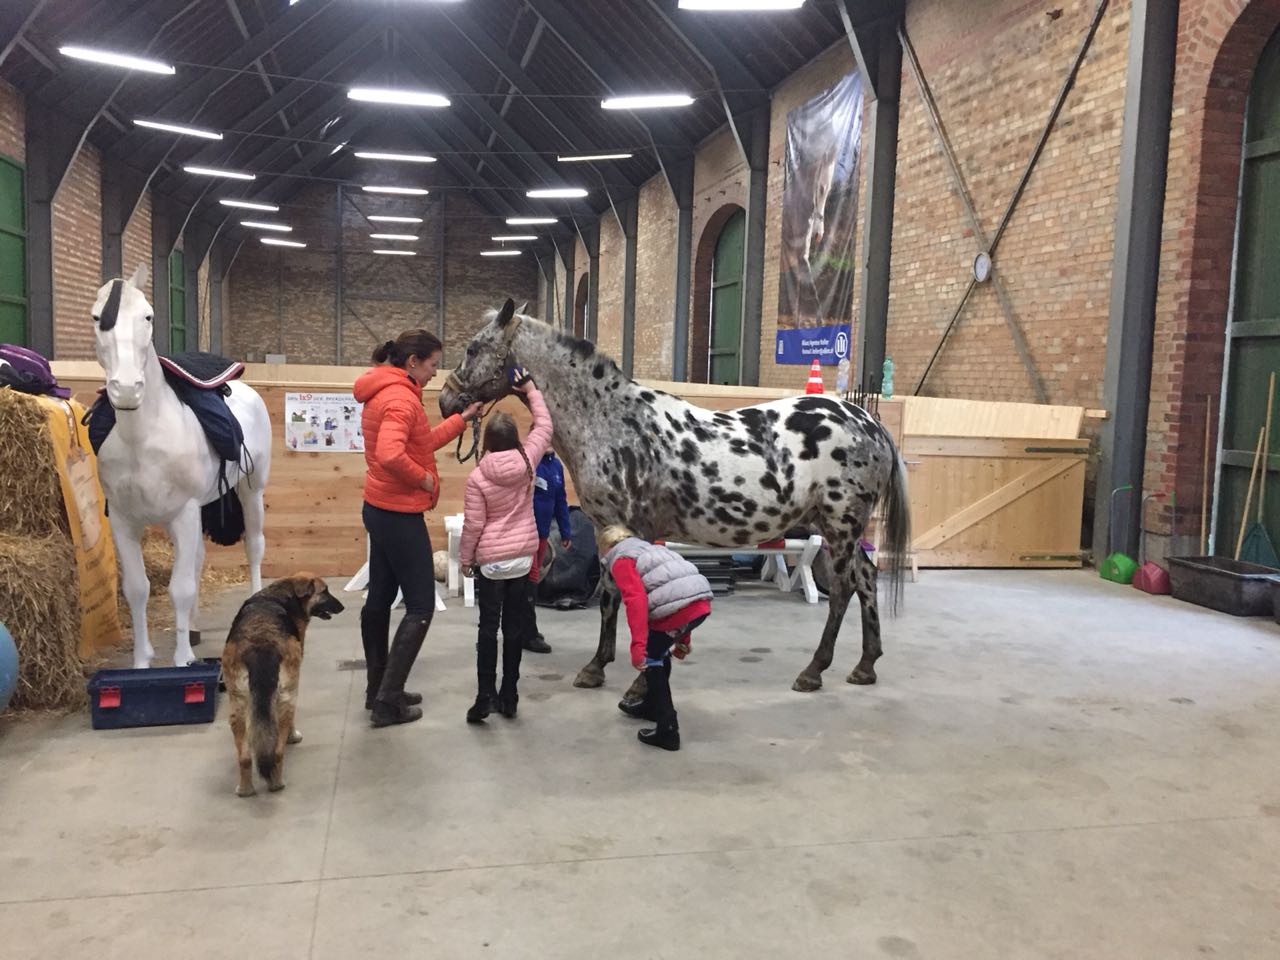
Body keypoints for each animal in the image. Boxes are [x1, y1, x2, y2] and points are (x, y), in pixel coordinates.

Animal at [221, 576, 343, 798]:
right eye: (324, 591)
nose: (342, 607)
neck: (281, 594)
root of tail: (259, 646)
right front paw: (293, 736)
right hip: (287, 698)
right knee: (277, 752)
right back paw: (277, 783)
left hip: (237, 704)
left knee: (245, 758)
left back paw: (245, 790)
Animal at [440, 296, 911, 696]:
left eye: (474, 348)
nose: (446, 400)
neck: (610, 422)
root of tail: (867, 421)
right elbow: (612, 596)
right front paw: (600, 666)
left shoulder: (631, 528)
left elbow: (619, 597)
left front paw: (623, 675)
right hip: (837, 527)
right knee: (867, 579)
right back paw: (865, 666)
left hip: (840, 524)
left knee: (846, 588)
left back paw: (813, 671)